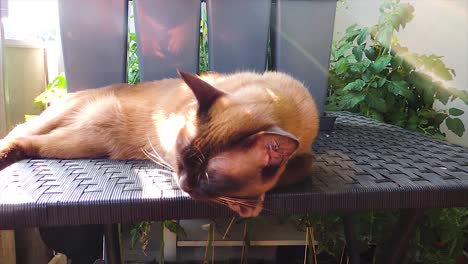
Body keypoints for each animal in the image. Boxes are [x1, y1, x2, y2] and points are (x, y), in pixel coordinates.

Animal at [0, 71, 320, 218]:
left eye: (208, 176)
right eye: (182, 155)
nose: (184, 184)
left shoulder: (305, 155)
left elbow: (302, 167)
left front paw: (251, 200)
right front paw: (249, 205)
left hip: (81, 142)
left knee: (30, 142)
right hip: (66, 125)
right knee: (19, 131)